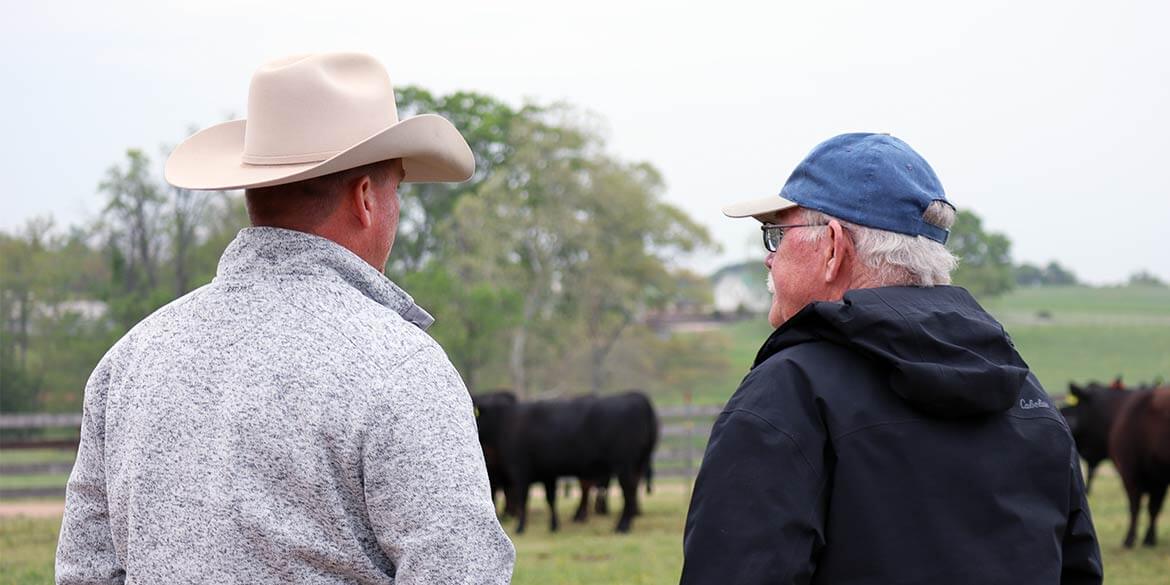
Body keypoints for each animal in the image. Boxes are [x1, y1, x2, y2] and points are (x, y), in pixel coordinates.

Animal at [475, 390, 659, 533]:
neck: (503, 420)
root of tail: (637, 398)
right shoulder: (547, 473)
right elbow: (550, 499)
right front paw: (553, 526)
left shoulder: (520, 471)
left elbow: (523, 499)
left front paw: (520, 527)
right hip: (637, 464)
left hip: (625, 466)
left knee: (628, 492)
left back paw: (622, 526)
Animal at [1109, 388, 1165, 547]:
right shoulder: (1155, 479)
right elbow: (1146, 507)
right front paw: (1145, 538)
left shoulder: (1132, 473)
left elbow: (1144, 507)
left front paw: (1142, 539)